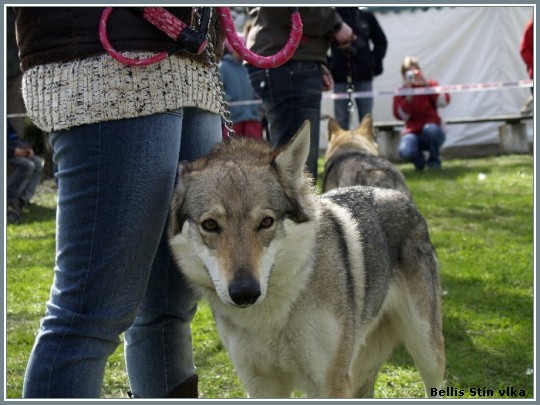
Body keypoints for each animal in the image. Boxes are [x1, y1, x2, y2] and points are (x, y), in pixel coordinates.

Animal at [168, 121, 442, 396]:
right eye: (210, 225)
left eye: (266, 222)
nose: (245, 293)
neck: (269, 318)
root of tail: (390, 191)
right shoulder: (261, 385)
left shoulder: (330, 384)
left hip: (427, 353)